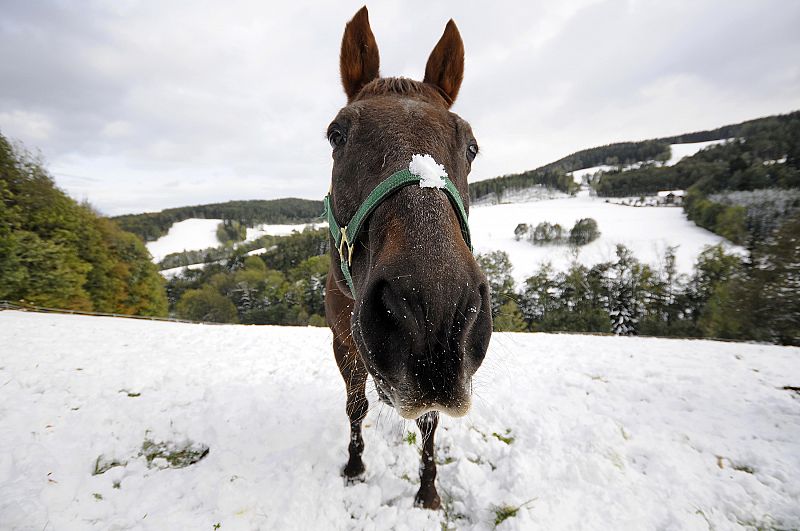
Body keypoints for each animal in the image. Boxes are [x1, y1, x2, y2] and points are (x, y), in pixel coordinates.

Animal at [324, 6, 494, 510]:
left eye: (471, 145)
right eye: (337, 135)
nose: (432, 312)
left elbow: (429, 420)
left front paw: (428, 490)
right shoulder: (343, 343)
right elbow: (355, 405)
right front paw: (355, 466)